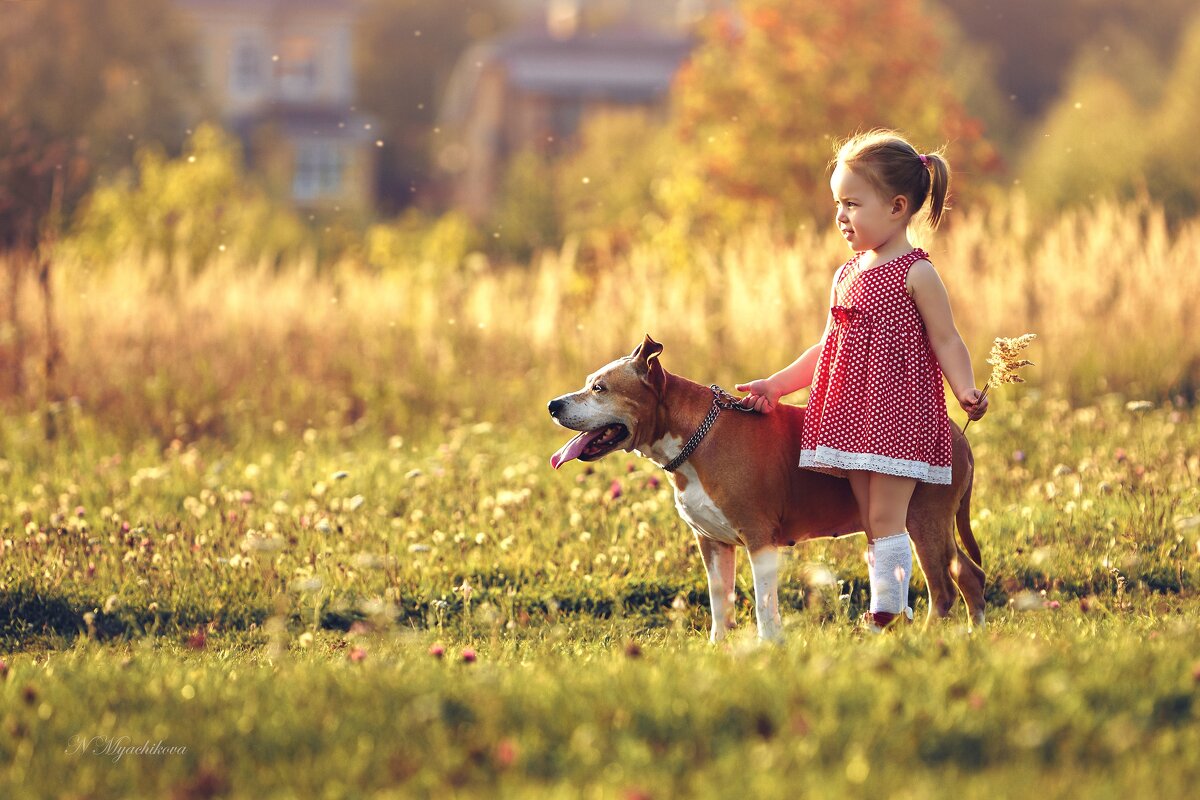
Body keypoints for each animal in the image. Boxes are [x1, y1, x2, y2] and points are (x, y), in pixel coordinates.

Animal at [549, 335, 984, 642]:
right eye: (589, 384)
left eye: (600, 388)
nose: (554, 405)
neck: (696, 437)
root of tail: (960, 437)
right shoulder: (712, 543)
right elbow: (719, 603)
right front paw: (719, 648)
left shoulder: (759, 538)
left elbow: (764, 605)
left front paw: (769, 649)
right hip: (936, 525)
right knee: (969, 574)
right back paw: (974, 635)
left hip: (924, 522)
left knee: (943, 589)